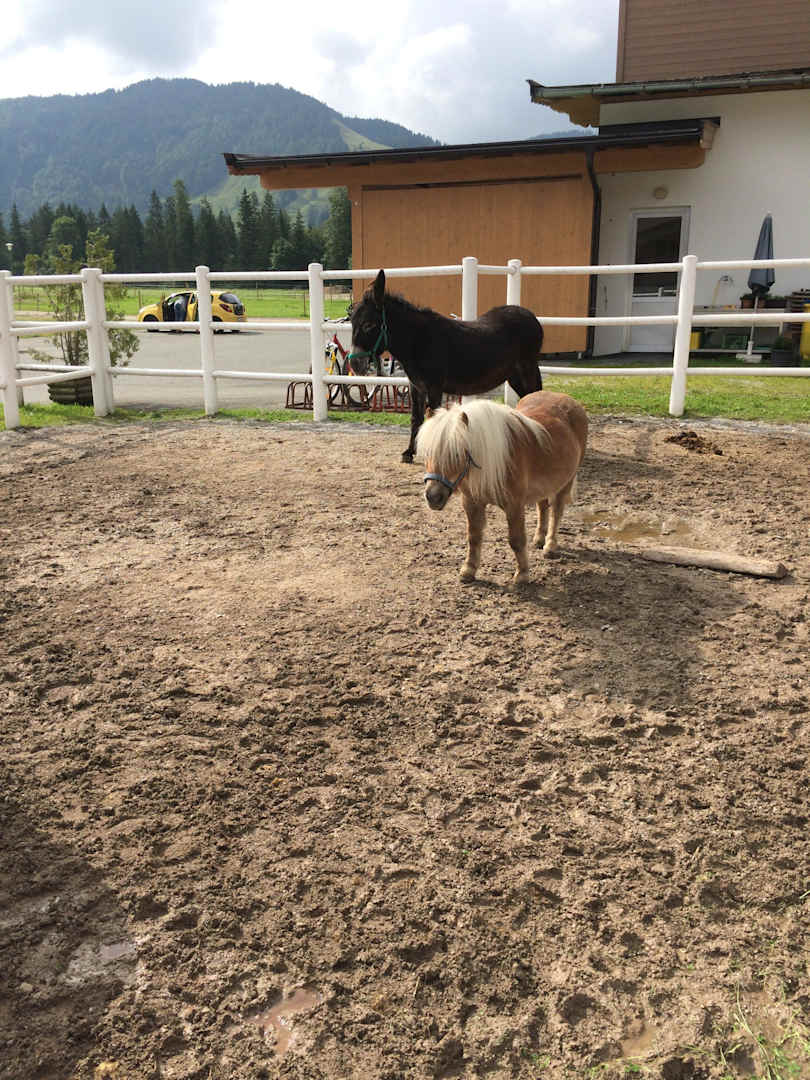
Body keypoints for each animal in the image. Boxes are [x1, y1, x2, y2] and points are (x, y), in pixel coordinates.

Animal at [349, 269, 543, 463]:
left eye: (368, 325)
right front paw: (410, 452)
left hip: (526, 370)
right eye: (352, 324)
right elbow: (416, 418)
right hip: (514, 376)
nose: (353, 364)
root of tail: (530, 315)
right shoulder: (416, 386)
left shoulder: (435, 387)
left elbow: (433, 417)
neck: (418, 341)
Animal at [416, 391, 588, 584]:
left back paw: (550, 545)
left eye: (457, 454)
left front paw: (522, 574)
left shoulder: (514, 506)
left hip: (566, 482)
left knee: (556, 512)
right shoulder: (471, 503)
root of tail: (569, 400)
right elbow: (473, 537)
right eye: (427, 453)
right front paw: (468, 570)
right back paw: (539, 539)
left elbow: (516, 540)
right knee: (542, 507)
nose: (433, 497)